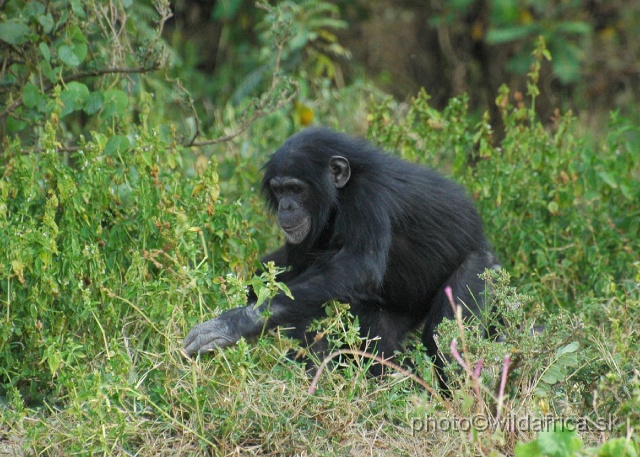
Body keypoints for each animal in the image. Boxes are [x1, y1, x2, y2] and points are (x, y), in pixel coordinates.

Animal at [182, 126, 498, 380]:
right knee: (377, 329)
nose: (286, 206)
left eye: (297, 189)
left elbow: (359, 266)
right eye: (279, 189)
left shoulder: (369, 196)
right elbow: (295, 266)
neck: (341, 192)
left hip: (480, 268)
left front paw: (235, 323)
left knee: (444, 336)